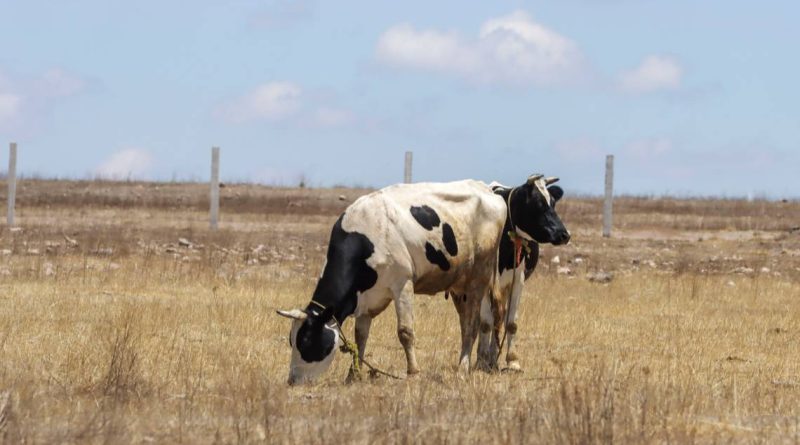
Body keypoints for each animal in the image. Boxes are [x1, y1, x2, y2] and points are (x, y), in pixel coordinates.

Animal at [278, 173, 572, 382]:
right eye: (292, 340)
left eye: (307, 341)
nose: (293, 381)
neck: (366, 233)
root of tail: (490, 193)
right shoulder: (367, 297)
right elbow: (360, 335)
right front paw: (355, 374)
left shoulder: (402, 285)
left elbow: (405, 332)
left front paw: (413, 372)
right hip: (461, 286)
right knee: (470, 324)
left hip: (480, 280)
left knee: (476, 324)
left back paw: (465, 366)